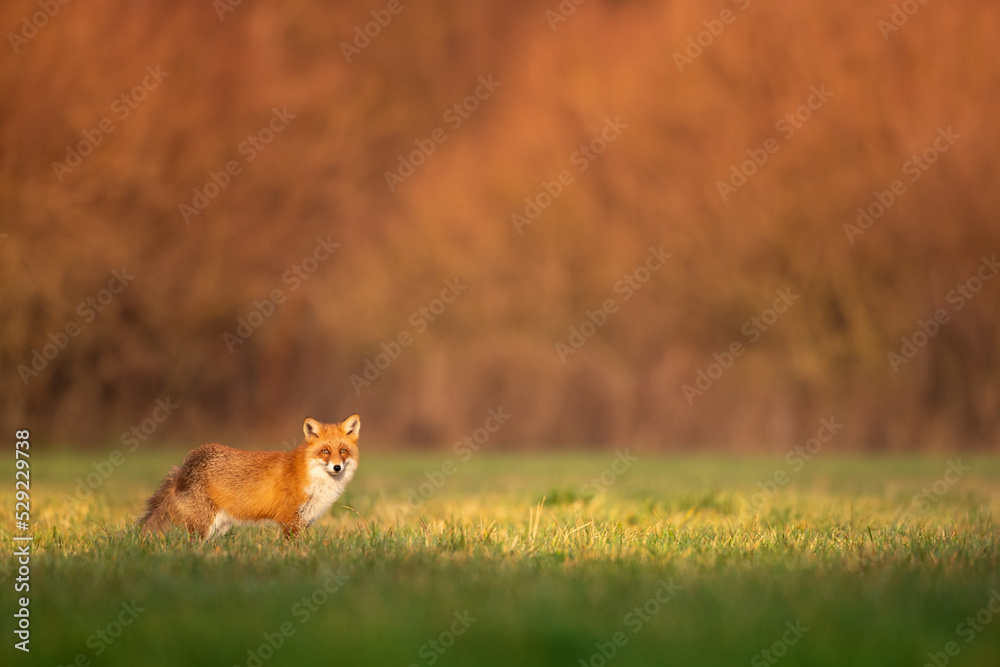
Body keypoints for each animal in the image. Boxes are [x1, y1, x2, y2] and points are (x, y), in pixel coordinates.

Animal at [138, 414, 360, 540]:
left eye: (343, 451)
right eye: (325, 451)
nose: (337, 467)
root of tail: (185, 462)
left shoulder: (304, 520)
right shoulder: (289, 520)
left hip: (218, 526)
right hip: (203, 524)